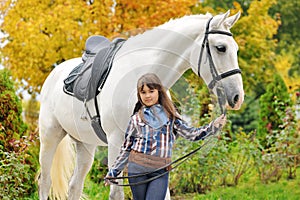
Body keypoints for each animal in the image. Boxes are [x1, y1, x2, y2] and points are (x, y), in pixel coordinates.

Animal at [38, 10, 244, 199]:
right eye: (221, 48)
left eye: (236, 49)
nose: (237, 97)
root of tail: (55, 73)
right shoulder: (116, 141)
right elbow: (116, 193)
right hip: (50, 137)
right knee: (45, 182)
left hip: (85, 145)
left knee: (75, 185)